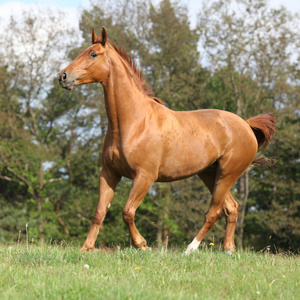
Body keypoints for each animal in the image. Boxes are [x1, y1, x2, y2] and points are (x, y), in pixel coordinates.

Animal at [57, 27, 276, 253]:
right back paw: (228, 249)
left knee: (214, 212)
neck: (134, 123)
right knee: (231, 208)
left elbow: (127, 212)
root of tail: (246, 125)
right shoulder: (109, 173)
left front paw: (142, 245)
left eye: (93, 54)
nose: (63, 76)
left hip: (227, 174)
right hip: (210, 174)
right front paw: (86, 248)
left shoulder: (144, 177)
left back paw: (190, 249)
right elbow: (100, 212)